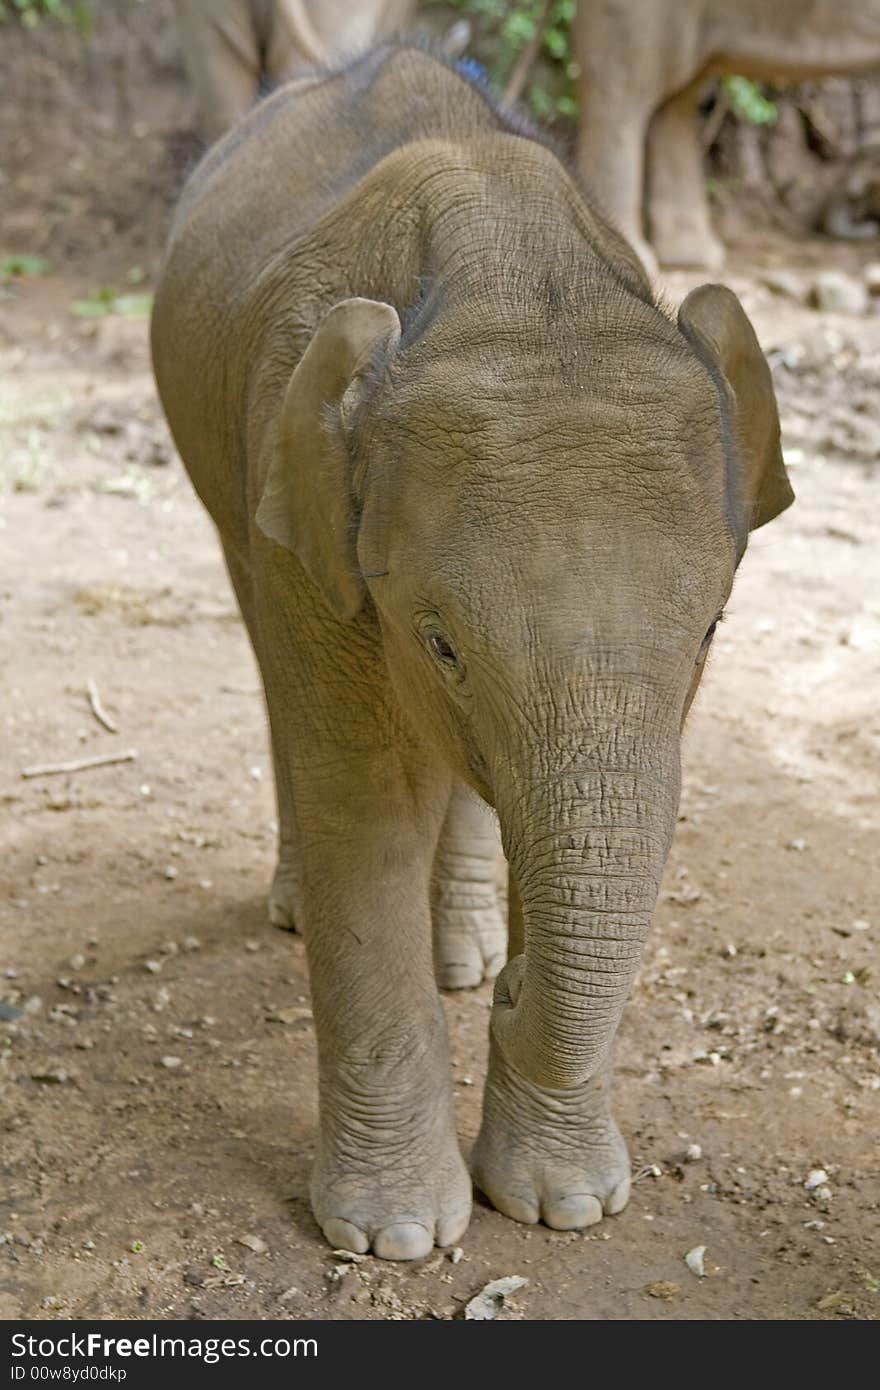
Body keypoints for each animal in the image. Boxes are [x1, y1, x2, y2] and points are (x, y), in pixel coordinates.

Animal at [150, 40, 789, 1262]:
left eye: (711, 631)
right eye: (439, 642)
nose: (517, 991)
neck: (513, 276)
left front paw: (564, 1207)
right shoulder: (301, 484)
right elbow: (365, 803)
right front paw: (394, 1240)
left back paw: (469, 958)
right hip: (231, 484)